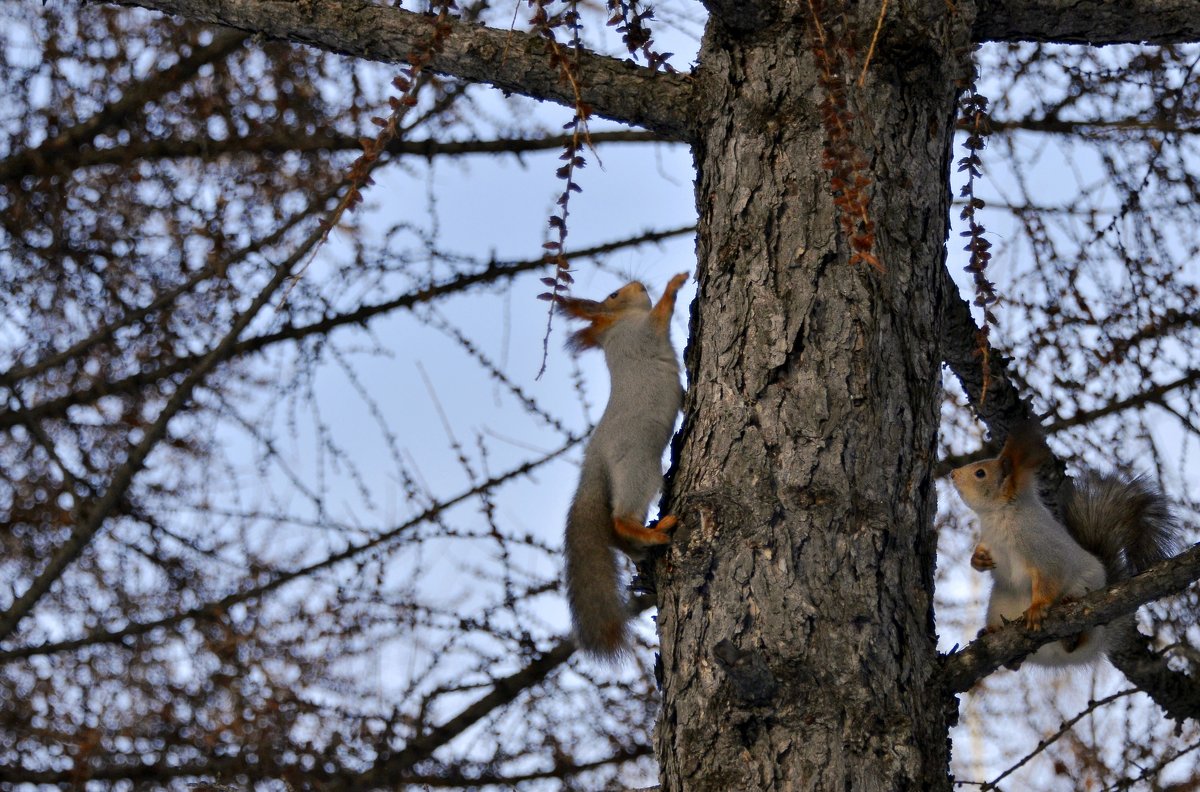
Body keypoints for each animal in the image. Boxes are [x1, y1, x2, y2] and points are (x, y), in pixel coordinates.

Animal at [556, 272, 691, 657]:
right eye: (614, 294)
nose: (637, 283)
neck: (617, 329)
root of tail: (595, 461)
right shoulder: (644, 330)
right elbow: (661, 313)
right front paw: (674, 284)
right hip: (638, 466)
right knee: (619, 520)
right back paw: (653, 531)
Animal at [945, 424, 1180, 667]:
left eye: (980, 473)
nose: (952, 473)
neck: (998, 516)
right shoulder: (991, 542)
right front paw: (978, 559)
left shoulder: (1043, 548)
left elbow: (1050, 577)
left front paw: (1037, 608)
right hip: (999, 603)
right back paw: (993, 635)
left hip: (1088, 595)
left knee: (1079, 635)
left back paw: (1071, 629)